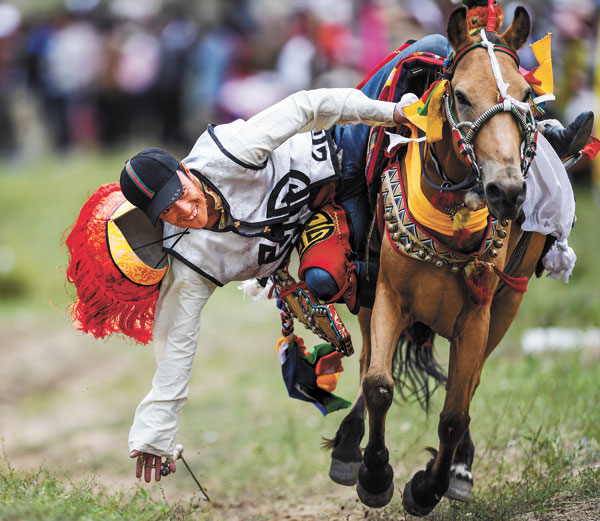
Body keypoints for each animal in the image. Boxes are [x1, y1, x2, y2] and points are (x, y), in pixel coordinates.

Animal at [326, 5, 556, 516]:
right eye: (463, 96)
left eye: (527, 96)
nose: (506, 191)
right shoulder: (389, 295)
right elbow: (379, 384)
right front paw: (375, 475)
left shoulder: (480, 313)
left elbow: (455, 412)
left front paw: (428, 487)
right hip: (370, 299)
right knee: (370, 365)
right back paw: (349, 448)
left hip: (506, 308)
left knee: (469, 386)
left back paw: (460, 469)